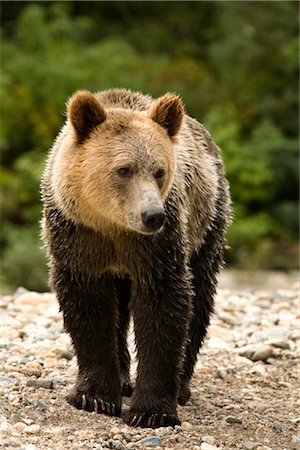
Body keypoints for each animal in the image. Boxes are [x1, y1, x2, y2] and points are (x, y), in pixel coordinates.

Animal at [41, 88, 231, 428]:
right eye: (124, 169)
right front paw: (95, 396)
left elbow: (164, 307)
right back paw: (123, 380)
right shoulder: (78, 237)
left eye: (159, 171)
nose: (152, 215)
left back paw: (181, 386)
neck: (113, 226)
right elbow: (88, 307)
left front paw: (152, 411)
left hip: (208, 220)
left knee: (201, 295)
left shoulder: (158, 246)